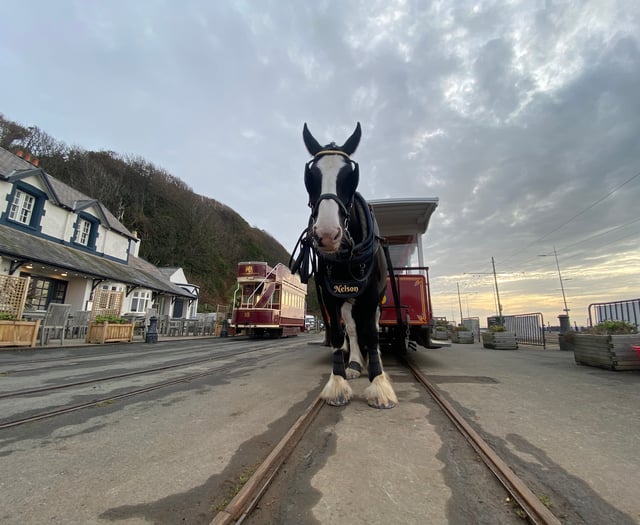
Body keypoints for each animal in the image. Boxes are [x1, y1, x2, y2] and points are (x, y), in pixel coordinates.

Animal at [291, 122, 398, 409]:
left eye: (351, 175)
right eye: (311, 176)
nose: (327, 234)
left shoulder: (371, 293)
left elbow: (371, 332)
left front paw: (379, 384)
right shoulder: (329, 295)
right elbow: (340, 334)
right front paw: (338, 382)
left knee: (372, 325)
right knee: (351, 325)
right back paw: (355, 363)